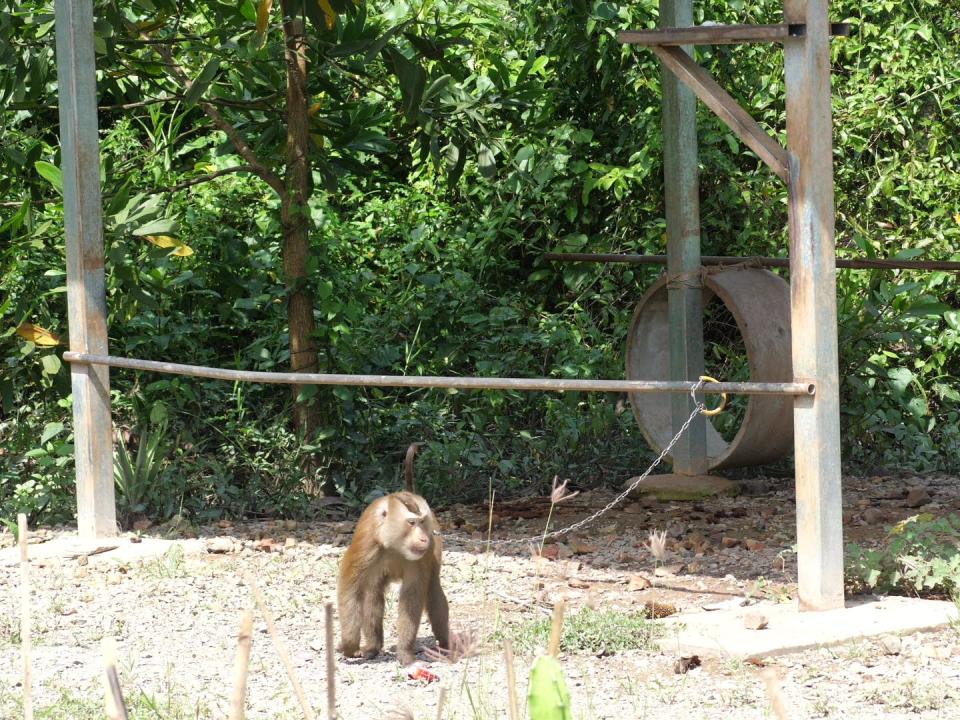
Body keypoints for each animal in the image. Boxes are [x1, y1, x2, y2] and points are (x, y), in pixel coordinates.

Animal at [338, 442, 450, 668]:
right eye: (411, 523)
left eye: (422, 522)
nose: (424, 538)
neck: (394, 544)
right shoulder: (366, 543)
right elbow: (350, 588)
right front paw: (350, 645)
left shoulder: (424, 554)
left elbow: (412, 597)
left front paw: (405, 654)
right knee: (372, 591)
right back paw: (373, 648)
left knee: (433, 589)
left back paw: (445, 645)